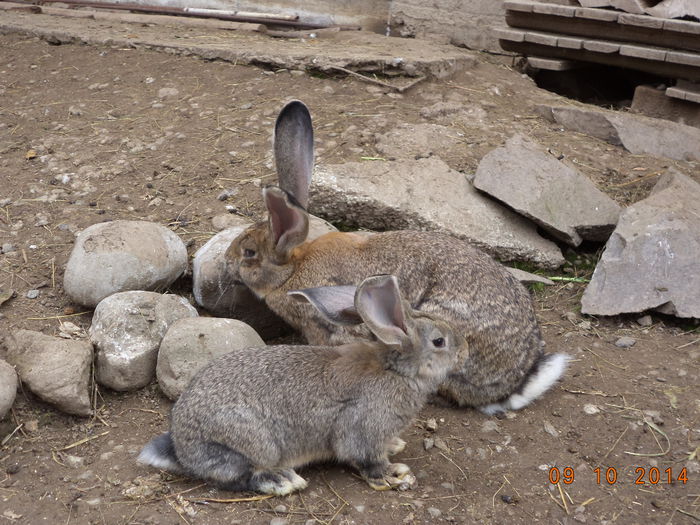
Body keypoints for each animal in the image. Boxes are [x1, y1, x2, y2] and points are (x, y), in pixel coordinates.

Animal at [139, 276, 462, 494]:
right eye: (439, 341)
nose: (465, 348)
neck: (396, 369)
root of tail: (182, 448)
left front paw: (395, 445)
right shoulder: (363, 427)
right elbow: (365, 459)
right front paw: (393, 475)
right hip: (252, 442)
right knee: (239, 476)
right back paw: (282, 480)